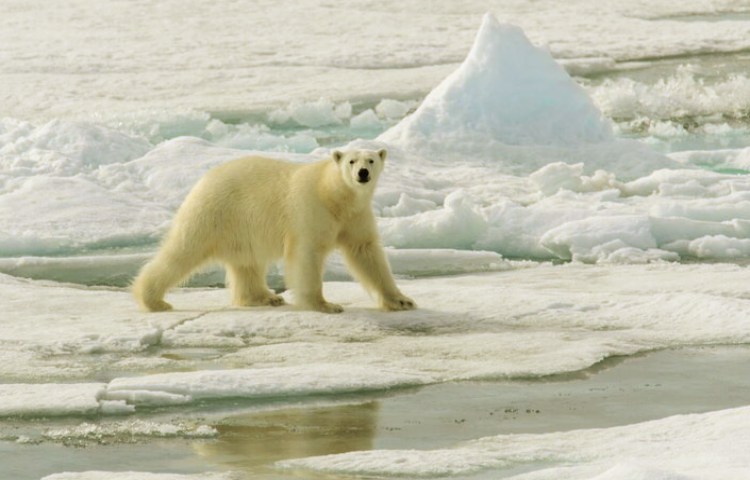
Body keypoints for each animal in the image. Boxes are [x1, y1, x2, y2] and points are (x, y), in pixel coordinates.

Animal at [134, 148, 418, 314]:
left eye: (371, 159)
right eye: (351, 161)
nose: (363, 173)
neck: (334, 196)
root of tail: (203, 180)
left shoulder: (356, 216)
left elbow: (366, 252)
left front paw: (402, 301)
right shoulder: (310, 210)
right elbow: (307, 255)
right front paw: (325, 304)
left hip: (241, 227)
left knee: (247, 263)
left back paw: (265, 297)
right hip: (214, 212)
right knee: (182, 251)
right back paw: (153, 300)